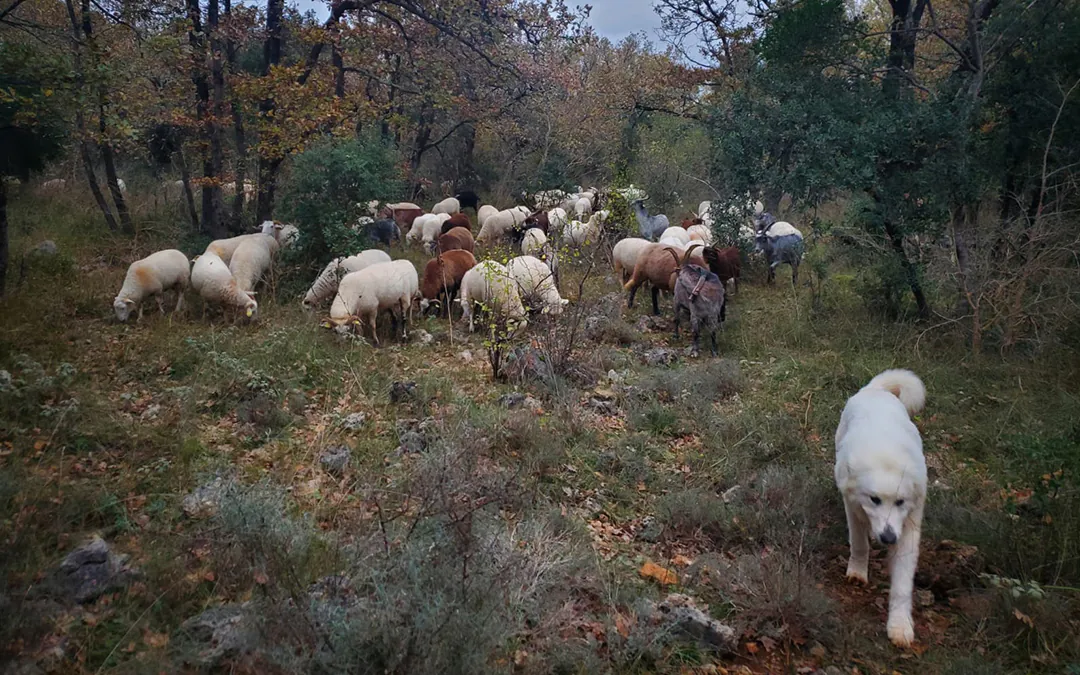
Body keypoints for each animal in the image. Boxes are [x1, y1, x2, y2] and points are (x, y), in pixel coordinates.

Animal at [833, 369, 928, 648]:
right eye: (874, 499)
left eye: (900, 502)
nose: (888, 538)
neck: (886, 455)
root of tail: (875, 389)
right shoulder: (853, 506)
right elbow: (859, 544)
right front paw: (857, 571)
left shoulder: (909, 524)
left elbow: (902, 584)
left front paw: (900, 626)